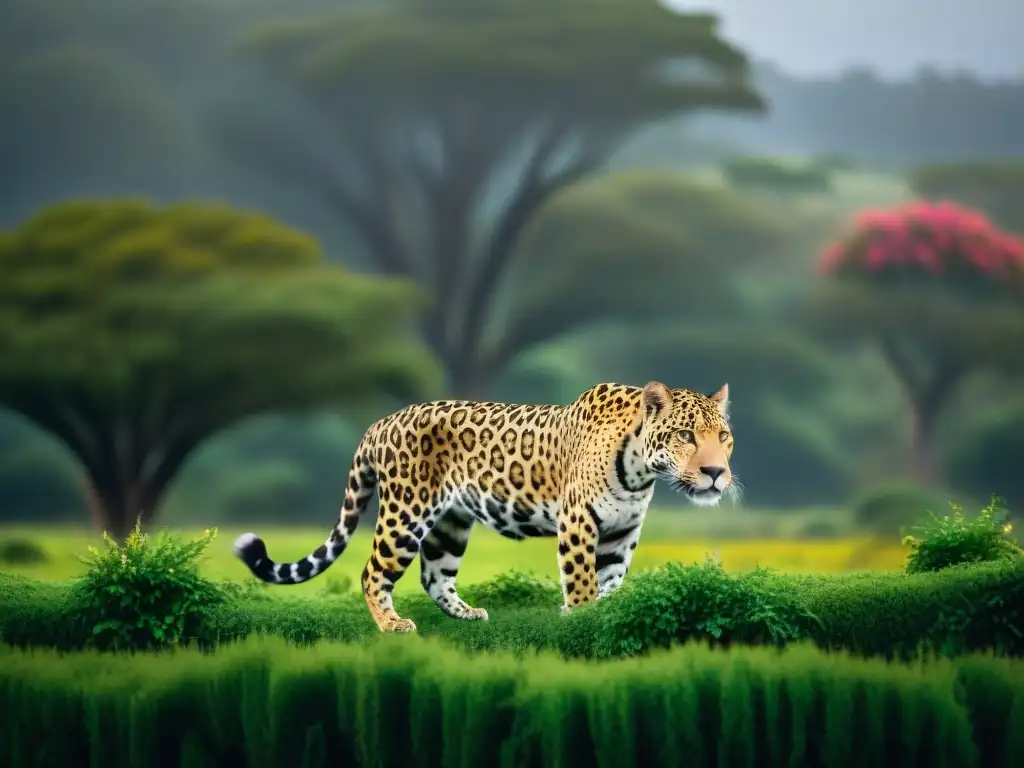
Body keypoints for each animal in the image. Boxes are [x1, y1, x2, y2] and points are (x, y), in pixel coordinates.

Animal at [233, 380, 736, 633]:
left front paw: (601, 618)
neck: (638, 472)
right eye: (685, 435)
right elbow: (582, 582)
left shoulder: (621, 533)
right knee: (372, 572)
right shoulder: (579, 523)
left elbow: (609, 582)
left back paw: (466, 614)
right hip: (405, 515)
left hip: (450, 523)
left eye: (723, 436)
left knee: (434, 575)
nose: (716, 472)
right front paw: (579, 620)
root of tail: (381, 422)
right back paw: (392, 624)